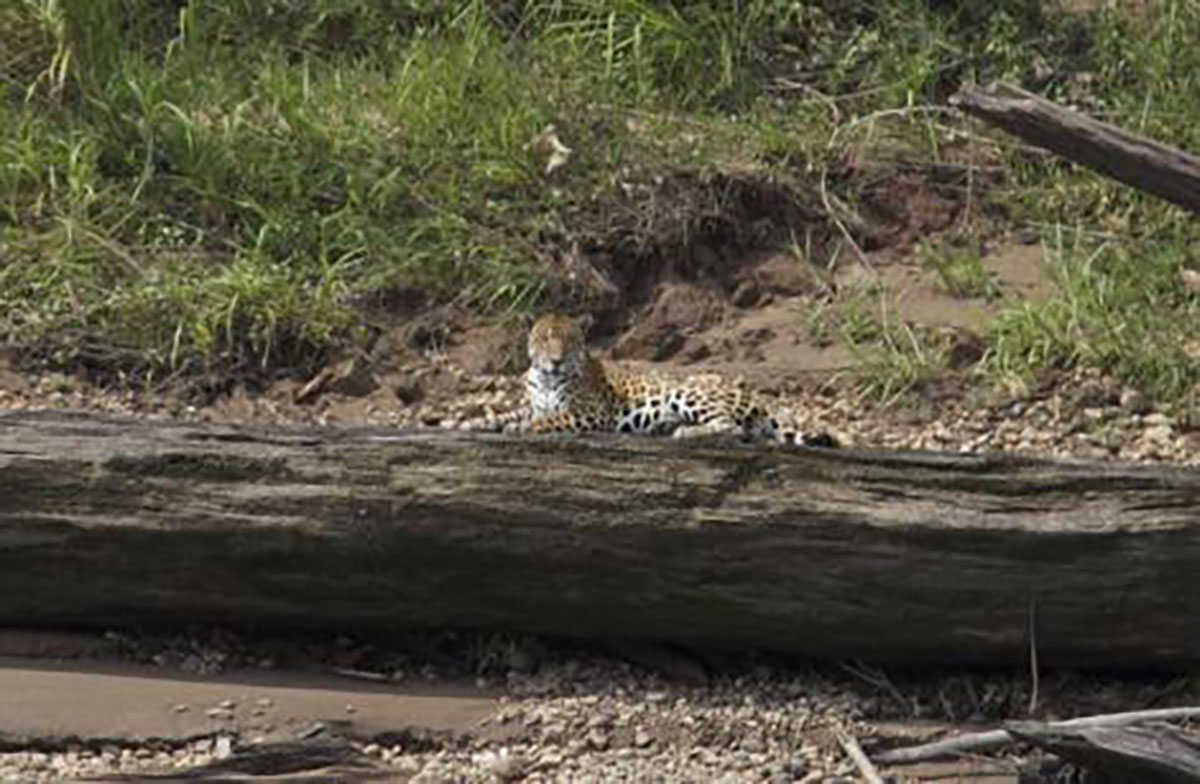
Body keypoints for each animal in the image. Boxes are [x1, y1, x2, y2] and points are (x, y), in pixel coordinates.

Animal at [477, 313, 834, 446]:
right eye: (544, 340)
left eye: (569, 342)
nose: (556, 360)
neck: (546, 378)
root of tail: (758, 399)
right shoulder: (534, 403)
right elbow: (508, 413)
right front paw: (476, 422)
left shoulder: (590, 413)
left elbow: (550, 419)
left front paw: (522, 428)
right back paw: (663, 426)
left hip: (688, 393)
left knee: (731, 427)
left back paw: (682, 431)